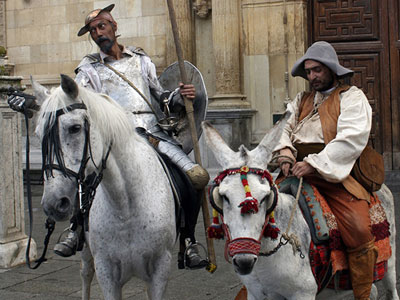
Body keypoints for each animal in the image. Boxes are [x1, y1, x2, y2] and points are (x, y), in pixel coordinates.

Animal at [33, 75, 177, 300]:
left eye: (75, 128)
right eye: (39, 135)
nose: (53, 204)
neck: (125, 206)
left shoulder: (160, 270)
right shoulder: (107, 273)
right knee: (85, 273)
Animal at [202, 115, 398, 300]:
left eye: (266, 196)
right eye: (223, 196)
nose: (244, 261)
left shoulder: (302, 293)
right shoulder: (256, 294)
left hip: (389, 260)